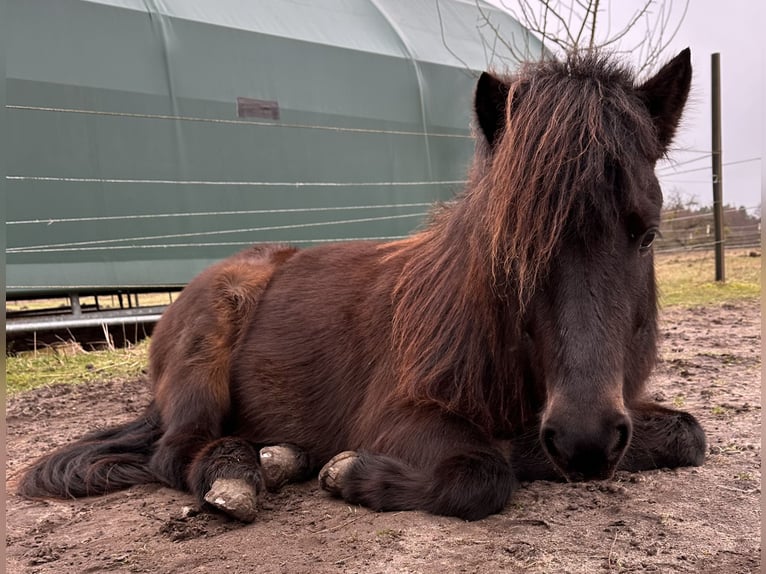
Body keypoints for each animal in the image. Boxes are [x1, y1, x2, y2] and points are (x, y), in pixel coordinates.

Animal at [19, 49, 708, 524]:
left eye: (648, 235)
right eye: (510, 242)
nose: (585, 439)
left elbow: (689, 433)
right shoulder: (398, 414)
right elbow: (483, 471)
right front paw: (353, 473)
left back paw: (282, 457)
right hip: (205, 353)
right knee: (177, 448)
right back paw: (239, 473)